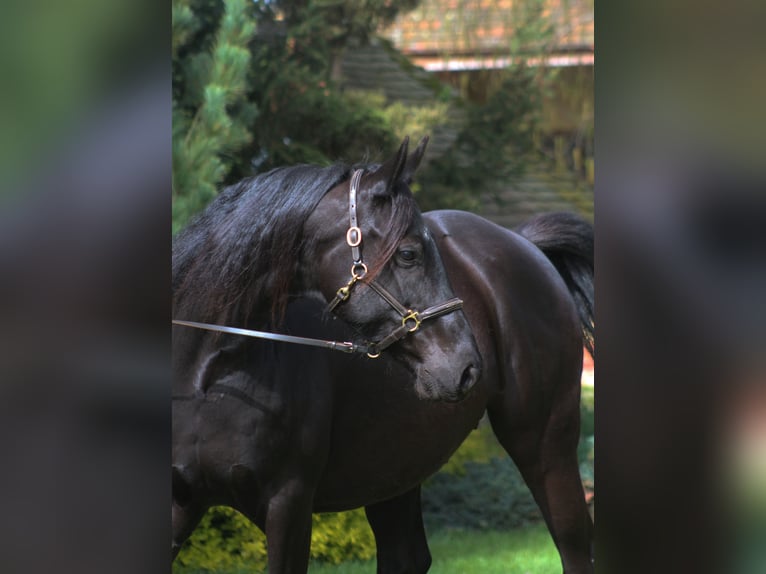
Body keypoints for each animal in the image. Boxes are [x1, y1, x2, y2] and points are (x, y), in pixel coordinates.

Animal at [172, 136, 594, 573]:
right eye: (408, 253)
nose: (465, 366)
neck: (211, 373)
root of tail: (525, 243)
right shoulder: (182, 504)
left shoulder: (288, 507)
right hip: (395, 464)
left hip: (545, 445)